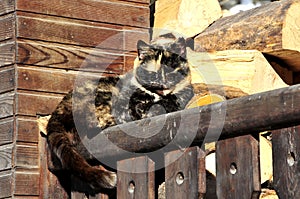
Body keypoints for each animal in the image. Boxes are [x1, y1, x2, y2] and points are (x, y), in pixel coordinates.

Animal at [45, 36, 193, 192]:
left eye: (171, 72)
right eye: (152, 73)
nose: (161, 84)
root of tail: (57, 110)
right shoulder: (125, 105)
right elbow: (136, 110)